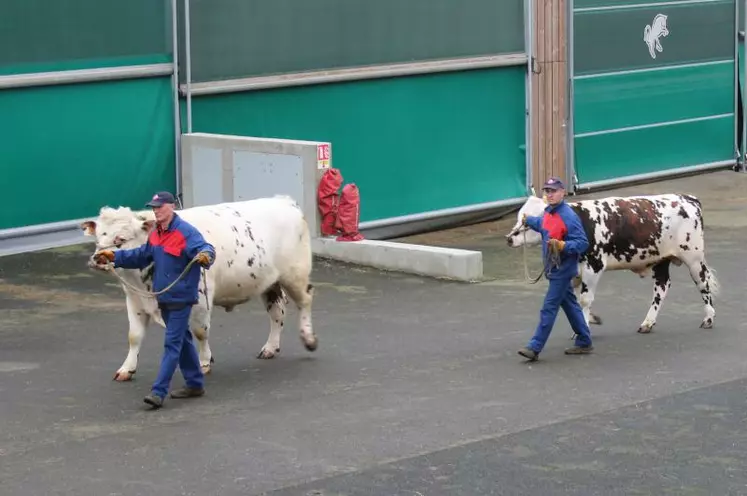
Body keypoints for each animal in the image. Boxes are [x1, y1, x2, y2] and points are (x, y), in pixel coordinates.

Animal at [81, 196, 316, 382]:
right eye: (98, 237)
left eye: (120, 238)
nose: (96, 259)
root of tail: (283, 200)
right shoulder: (134, 299)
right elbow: (134, 336)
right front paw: (126, 369)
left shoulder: (202, 299)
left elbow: (201, 332)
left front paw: (204, 362)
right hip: (269, 282)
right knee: (277, 313)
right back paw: (270, 348)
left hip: (295, 274)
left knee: (305, 301)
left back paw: (309, 339)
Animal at [506, 192, 720, 336]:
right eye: (519, 218)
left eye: (528, 223)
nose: (509, 238)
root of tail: (687, 198)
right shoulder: (573, 273)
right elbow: (574, 300)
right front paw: (591, 319)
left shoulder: (593, 267)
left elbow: (585, 299)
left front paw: (583, 327)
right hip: (661, 259)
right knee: (662, 287)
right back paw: (648, 323)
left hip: (693, 258)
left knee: (703, 284)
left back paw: (708, 319)